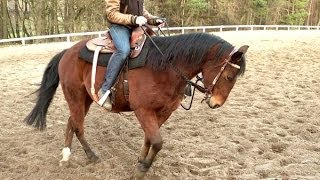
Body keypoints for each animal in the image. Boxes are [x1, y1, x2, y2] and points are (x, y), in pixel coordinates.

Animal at [23, 31, 249, 178]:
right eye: (229, 76)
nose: (216, 103)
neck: (165, 67)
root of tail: (68, 52)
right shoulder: (143, 110)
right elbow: (157, 141)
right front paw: (143, 169)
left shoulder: (164, 112)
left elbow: (150, 138)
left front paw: (141, 160)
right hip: (75, 97)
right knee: (78, 126)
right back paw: (91, 155)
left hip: (84, 99)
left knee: (72, 122)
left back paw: (66, 156)